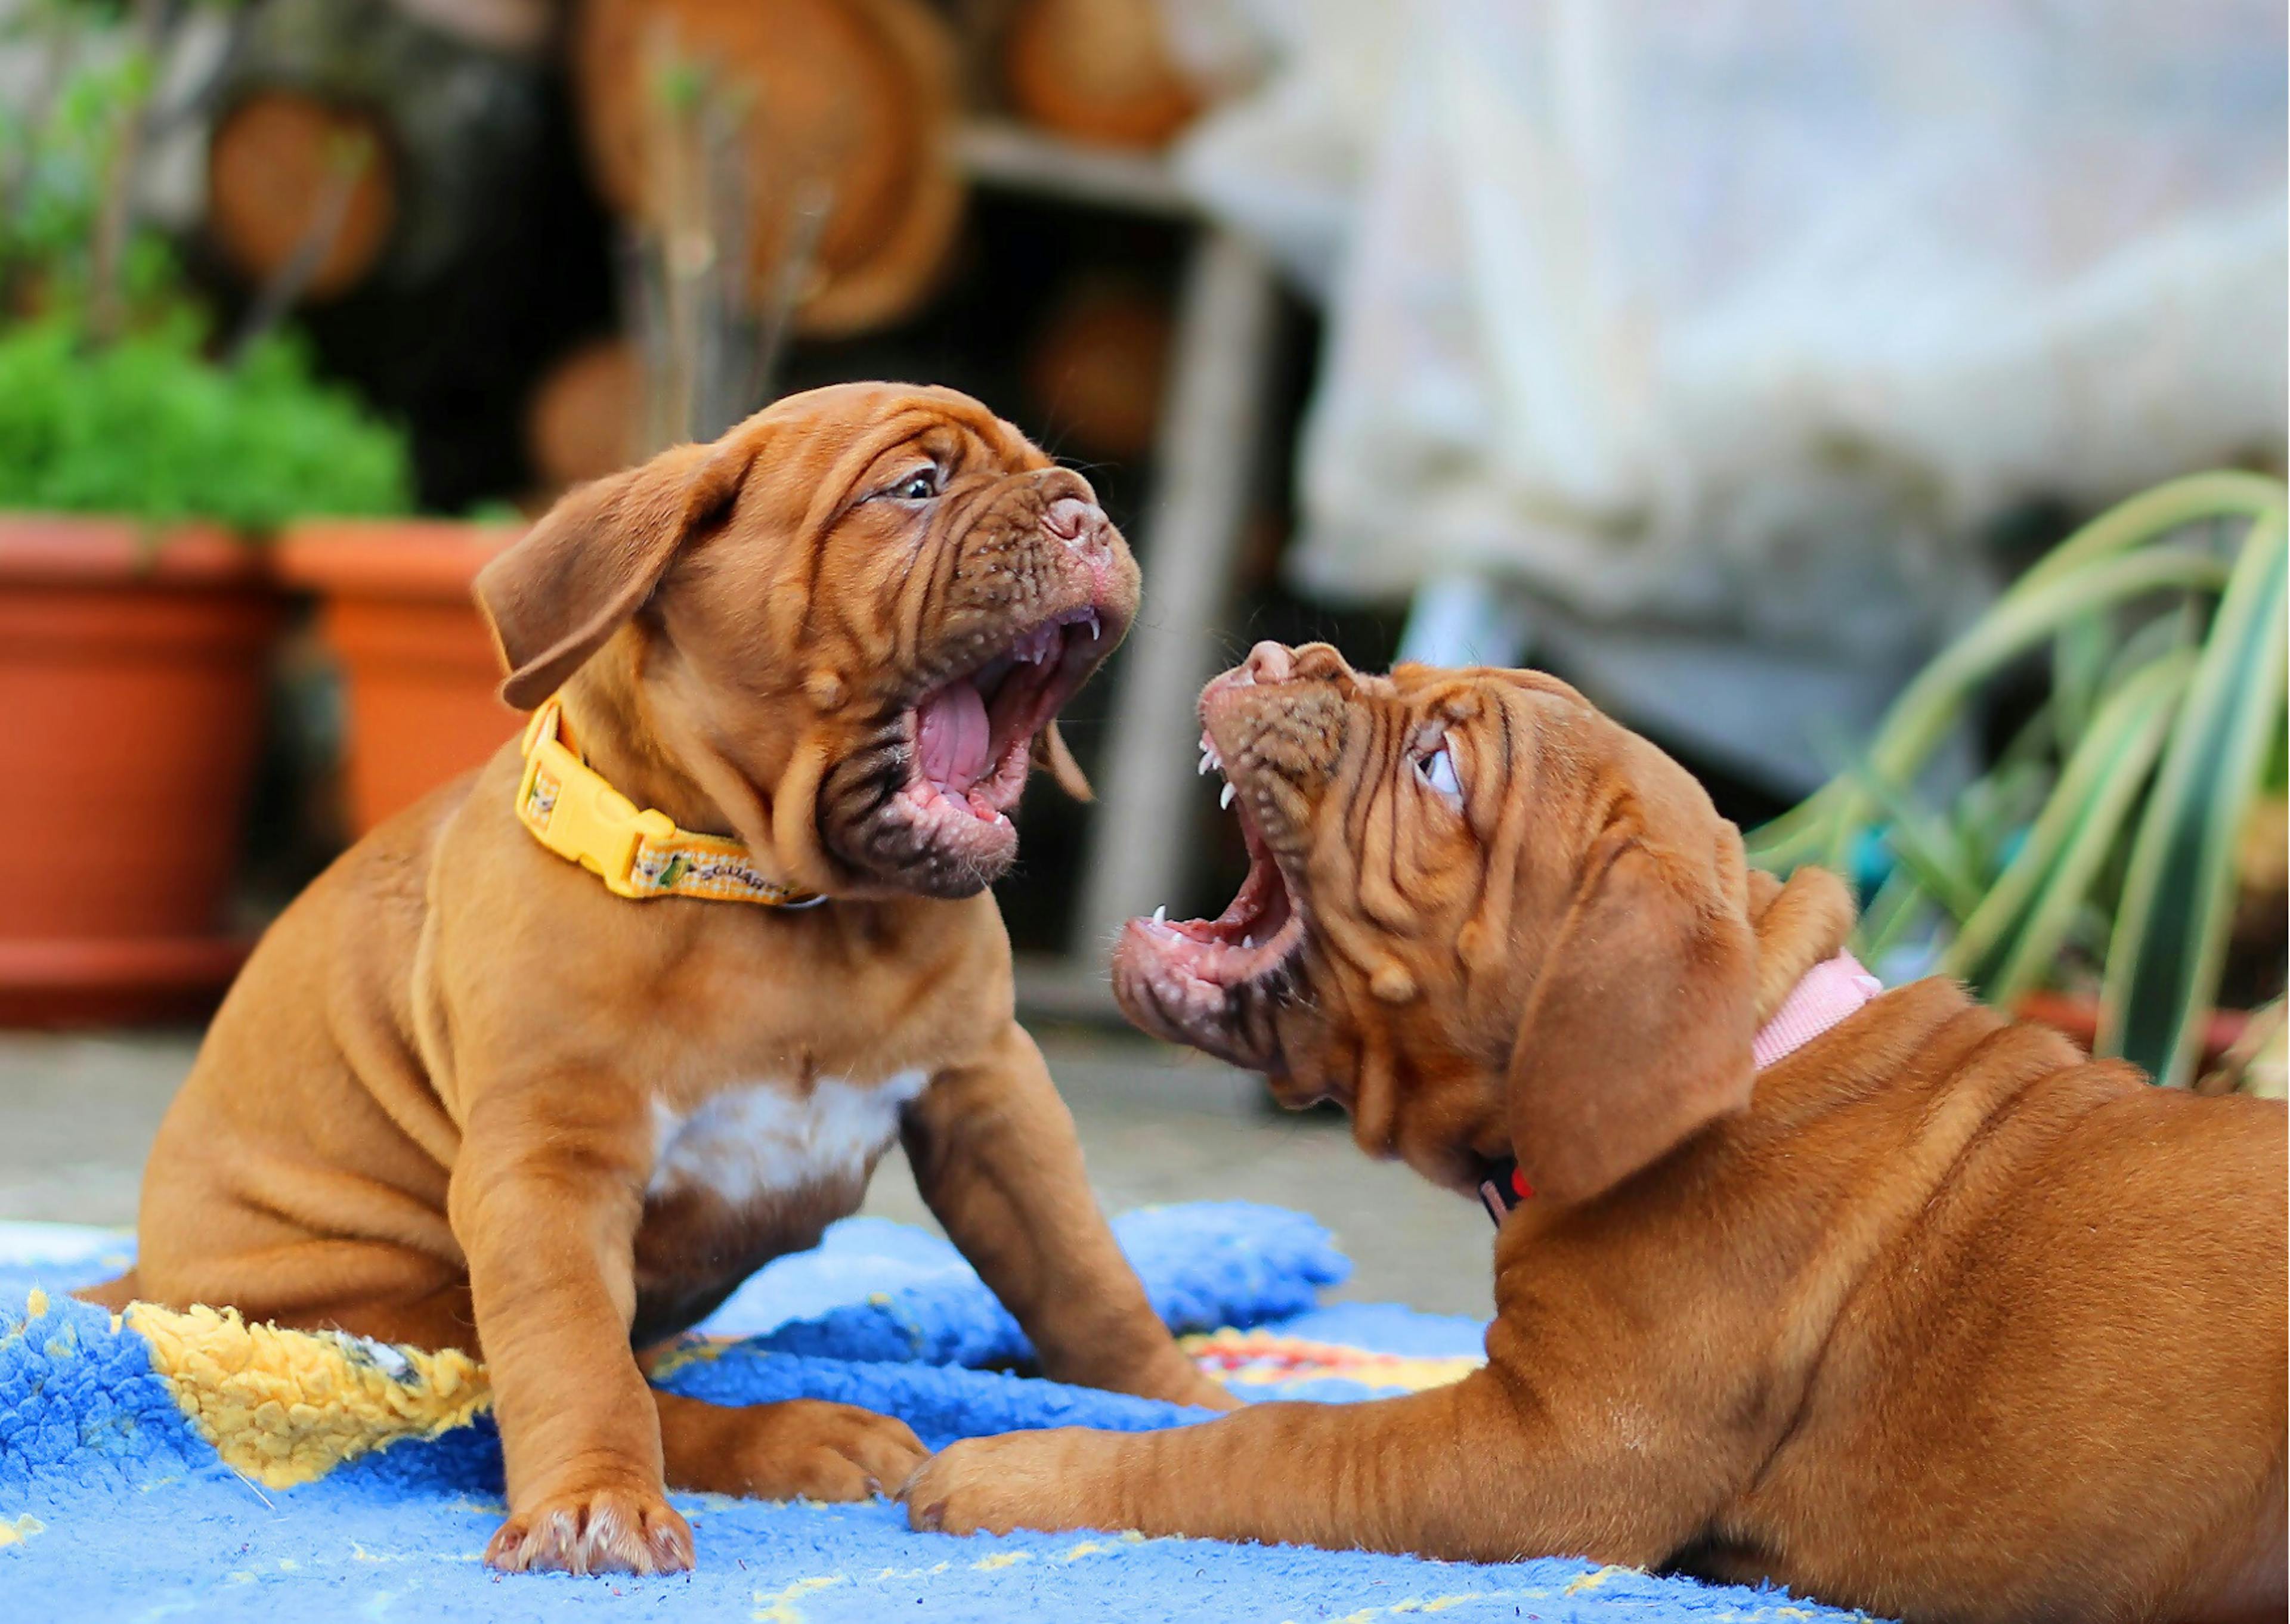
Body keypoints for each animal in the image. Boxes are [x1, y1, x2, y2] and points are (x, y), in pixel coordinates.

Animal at [85, 380, 1236, 1566]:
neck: (785, 905)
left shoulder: (992, 1094)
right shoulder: (549, 1160)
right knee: (528, 1385)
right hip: (377, 1299)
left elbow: (1086, 1274)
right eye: (914, 488)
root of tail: (143, 1282)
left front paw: (1188, 1404)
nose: (1083, 513)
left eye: (1061, 478)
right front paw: (595, 1501)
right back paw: (798, 1434)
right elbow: (573, 1354)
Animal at [906, 641, 2290, 1622]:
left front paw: (1013, 1473)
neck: (1754, 1038)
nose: (1266, 653)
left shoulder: (1549, 1457)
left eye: (1438, 770)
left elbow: (1264, 1446)